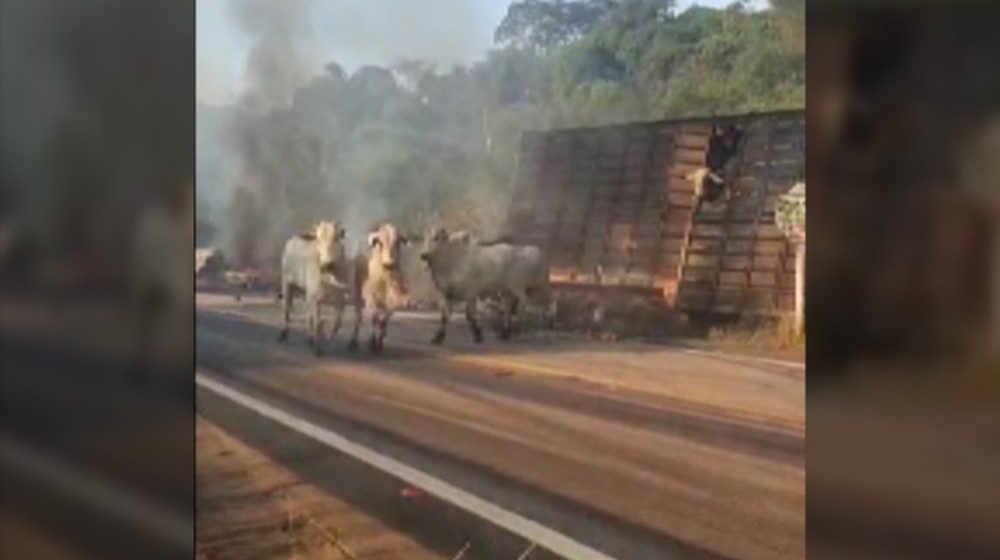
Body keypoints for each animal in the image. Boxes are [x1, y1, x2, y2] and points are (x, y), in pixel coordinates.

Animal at [278, 219, 348, 354]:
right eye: (319, 239)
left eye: (336, 237)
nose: (327, 264)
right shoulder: (315, 299)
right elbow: (318, 322)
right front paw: (318, 347)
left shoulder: (340, 301)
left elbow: (337, 323)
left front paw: (326, 339)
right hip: (287, 283)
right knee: (287, 308)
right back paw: (283, 334)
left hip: (306, 293)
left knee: (307, 314)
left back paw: (309, 338)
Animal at [346, 221, 412, 352]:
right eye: (380, 243)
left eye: (397, 242)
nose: (389, 263)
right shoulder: (371, 299)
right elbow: (374, 319)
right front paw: (372, 342)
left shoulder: (393, 303)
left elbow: (384, 321)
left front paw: (380, 343)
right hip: (358, 290)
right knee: (358, 316)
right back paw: (353, 341)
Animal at [420, 225, 552, 344]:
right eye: (425, 238)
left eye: (437, 238)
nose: (424, 255)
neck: (452, 260)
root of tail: (539, 253)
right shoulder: (448, 294)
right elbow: (445, 317)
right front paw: (438, 338)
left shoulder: (470, 293)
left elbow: (470, 315)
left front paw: (478, 335)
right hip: (507, 291)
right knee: (509, 308)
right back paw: (505, 333)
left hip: (522, 288)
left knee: (529, 305)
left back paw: (526, 330)